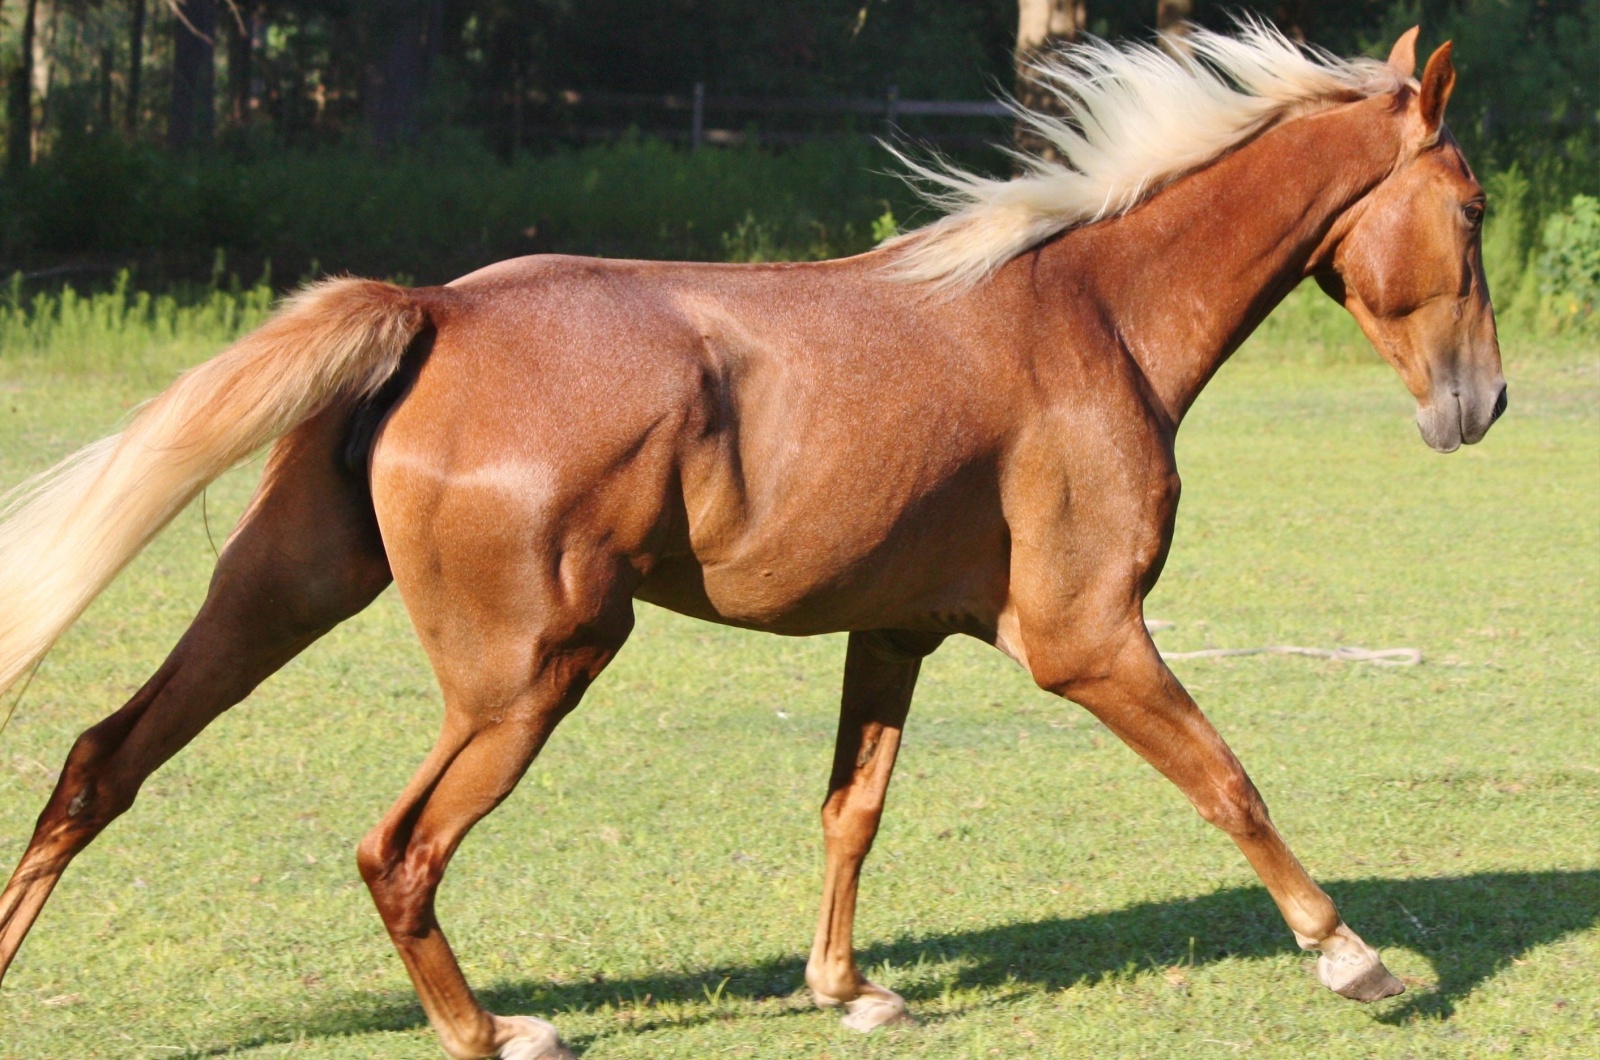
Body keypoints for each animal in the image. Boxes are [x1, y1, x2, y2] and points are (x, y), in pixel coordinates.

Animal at [0, 24, 1497, 1060]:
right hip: (531, 669)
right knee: (396, 850)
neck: (1091, 315)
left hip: (282, 593)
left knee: (98, 762)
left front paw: (850, 991)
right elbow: (1229, 781)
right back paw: (493, 1033)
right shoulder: (1086, 637)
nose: (1476, 407)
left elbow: (852, 809)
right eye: (1474, 207)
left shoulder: (894, 631)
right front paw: (1352, 958)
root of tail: (433, 309)